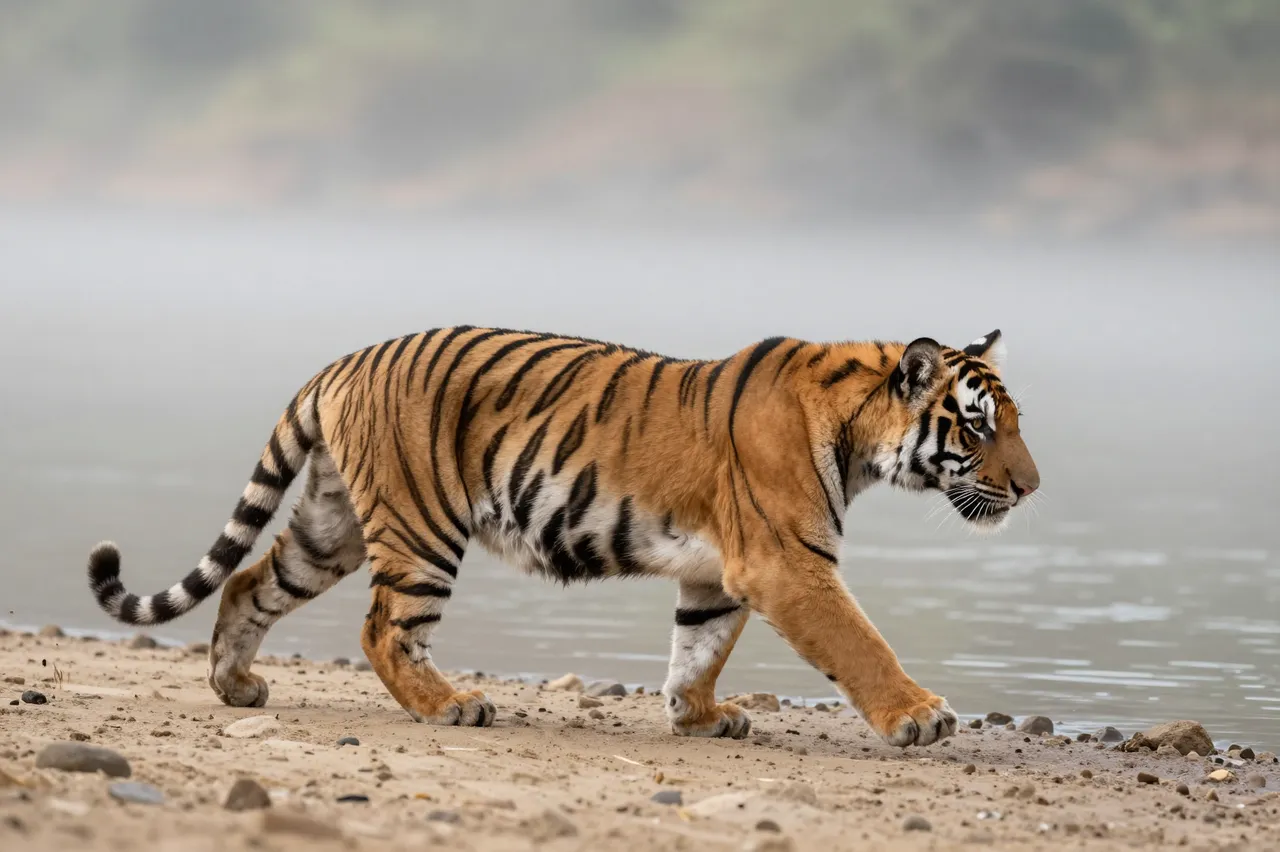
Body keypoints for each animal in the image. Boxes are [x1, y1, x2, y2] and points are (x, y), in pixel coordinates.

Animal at [87, 325, 1038, 748]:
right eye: (979, 426)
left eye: (1013, 422)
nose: (1031, 488)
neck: (860, 432)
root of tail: (343, 359)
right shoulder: (789, 564)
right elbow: (861, 643)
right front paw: (920, 716)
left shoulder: (719, 573)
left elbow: (699, 648)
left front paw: (699, 716)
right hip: (421, 528)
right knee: (382, 629)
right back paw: (451, 705)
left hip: (333, 524)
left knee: (250, 581)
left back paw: (236, 685)